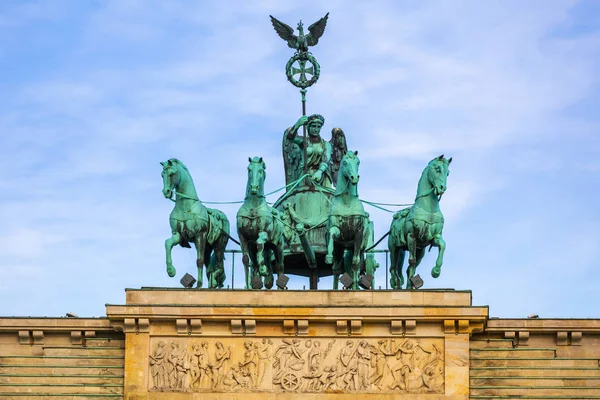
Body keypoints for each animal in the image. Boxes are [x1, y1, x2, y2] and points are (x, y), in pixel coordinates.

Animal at [159, 158, 230, 290]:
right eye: (162, 174)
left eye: (171, 174)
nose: (166, 192)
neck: (185, 207)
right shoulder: (177, 234)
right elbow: (168, 243)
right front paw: (171, 271)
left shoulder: (199, 236)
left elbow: (199, 261)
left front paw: (199, 284)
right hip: (208, 247)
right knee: (210, 267)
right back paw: (212, 282)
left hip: (219, 245)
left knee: (219, 266)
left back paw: (214, 281)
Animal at [237, 155, 286, 290]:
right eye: (249, 169)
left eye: (260, 170)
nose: (254, 187)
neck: (253, 206)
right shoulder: (243, 238)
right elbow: (245, 260)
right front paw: (248, 285)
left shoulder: (264, 233)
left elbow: (259, 243)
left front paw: (264, 269)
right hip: (256, 248)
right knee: (255, 264)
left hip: (278, 246)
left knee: (280, 266)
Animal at [324, 152, 370, 290]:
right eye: (344, 162)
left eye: (358, 162)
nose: (354, 177)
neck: (347, 201)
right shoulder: (338, 232)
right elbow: (332, 234)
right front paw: (328, 256)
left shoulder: (358, 234)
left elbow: (355, 263)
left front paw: (355, 288)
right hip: (341, 249)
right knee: (336, 269)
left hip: (359, 248)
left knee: (356, 265)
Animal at [386, 155, 452, 290]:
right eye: (437, 169)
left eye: (448, 173)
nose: (442, 188)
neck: (428, 209)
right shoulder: (411, 236)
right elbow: (411, 262)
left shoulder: (433, 238)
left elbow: (443, 245)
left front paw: (436, 271)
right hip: (394, 247)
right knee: (393, 268)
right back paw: (396, 283)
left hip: (420, 251)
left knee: (406, 269)